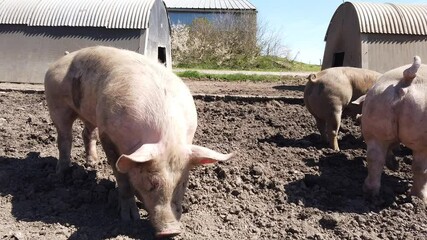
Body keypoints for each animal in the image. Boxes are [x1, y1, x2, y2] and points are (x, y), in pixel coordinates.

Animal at [43, 46, 234, 237]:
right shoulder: (108, 135)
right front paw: (130, 218)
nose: (171, 231)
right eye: (151, 182)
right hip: (56, 103)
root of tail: (62, 59)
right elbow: (121, 176)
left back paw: (92, 164)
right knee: (64, 138)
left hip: (90, 113)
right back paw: (62, 173)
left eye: (183, 183)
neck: (165, 132)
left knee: (87, 133)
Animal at [362, 55, 427, 202]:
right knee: (421, 168)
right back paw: (420, 198)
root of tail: (406, 80)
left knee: (375, 157)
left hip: (376, 114)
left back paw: (371, 191)